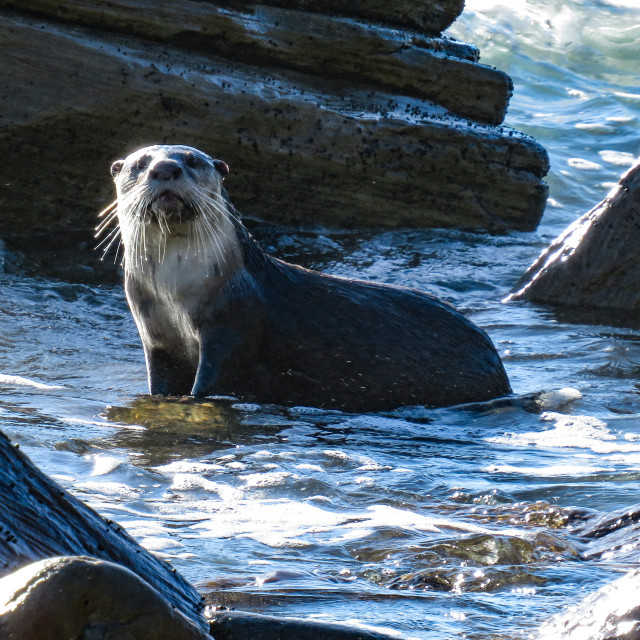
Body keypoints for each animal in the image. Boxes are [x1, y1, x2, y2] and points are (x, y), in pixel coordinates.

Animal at [102, 143, 512, 412]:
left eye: (191, 161)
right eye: (138, 164)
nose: (164, 169)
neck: (177, 292)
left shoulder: (233, 324)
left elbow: (212, 383)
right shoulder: (156, 337)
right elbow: (160, 384)